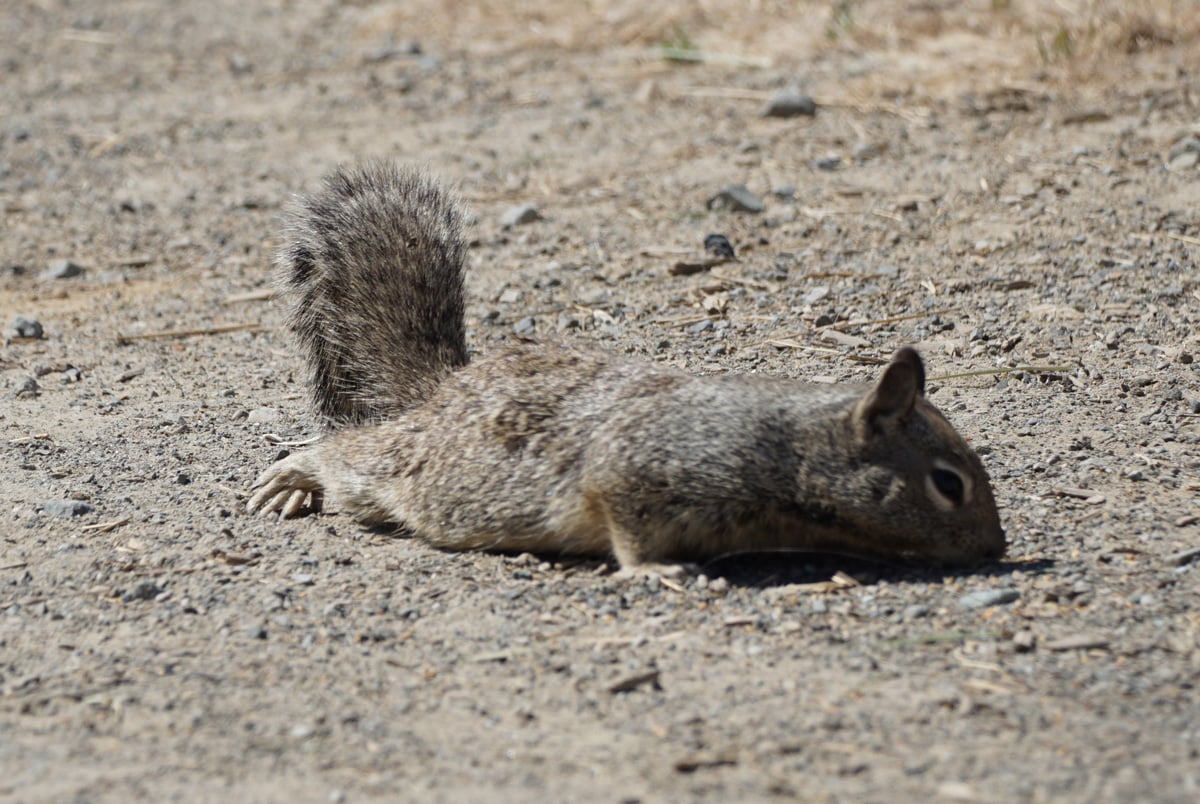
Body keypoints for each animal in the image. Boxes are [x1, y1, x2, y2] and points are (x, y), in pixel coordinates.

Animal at [248, 163, 1008, 576]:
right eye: (948, 484)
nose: (996, 548)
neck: (788, 445)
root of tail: (444, 391)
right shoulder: (642, 469)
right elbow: (626, 526)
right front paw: (661, 570)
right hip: (395, 467)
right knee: (346, 455)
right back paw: (292, 479)